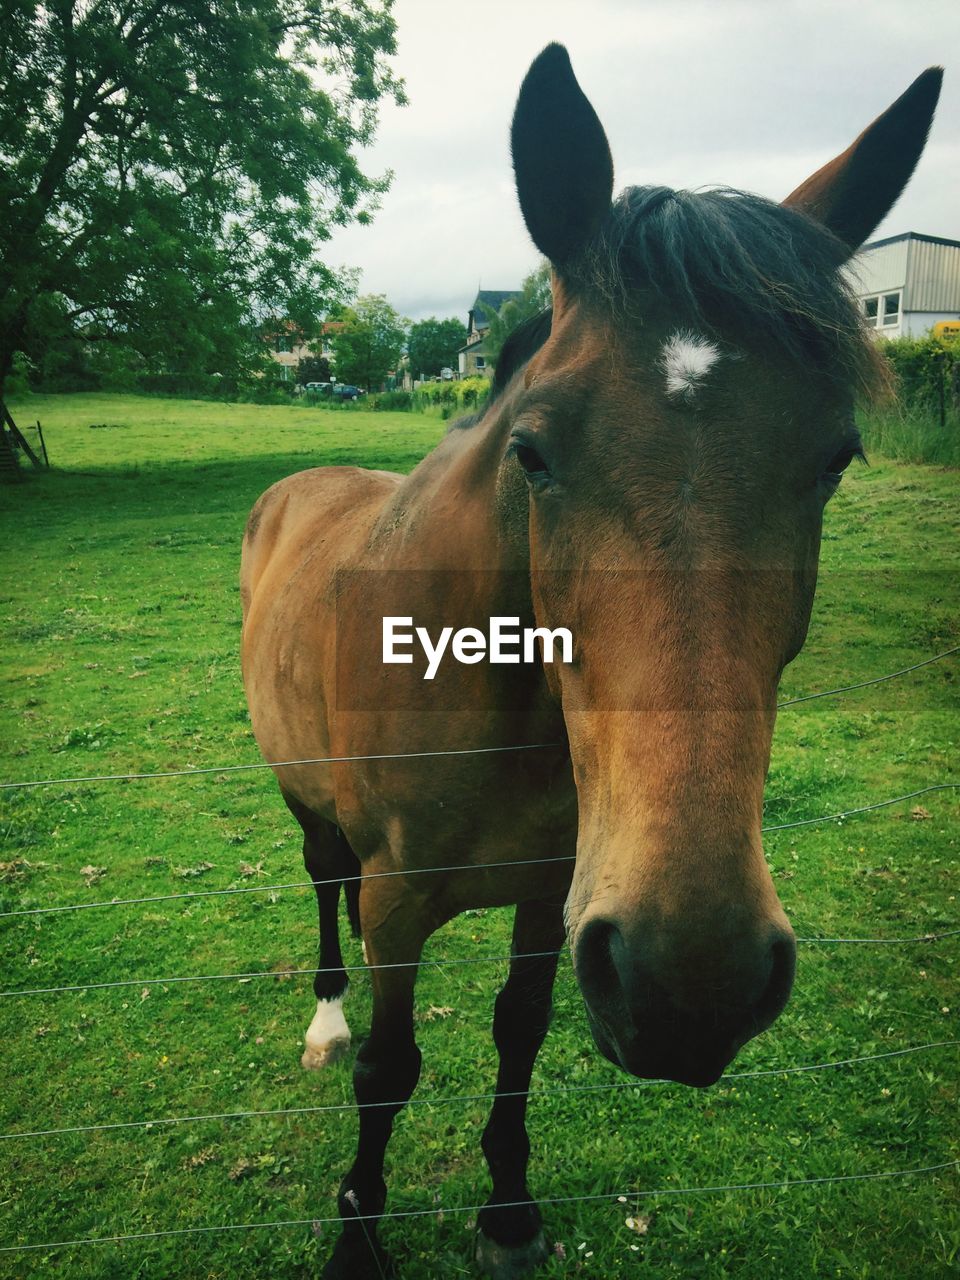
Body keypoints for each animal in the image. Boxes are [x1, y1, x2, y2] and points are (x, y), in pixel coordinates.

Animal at [241, 45, 947, 1274]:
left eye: (836, 459)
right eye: (532, 452)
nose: (693, 978)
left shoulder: (551, 890)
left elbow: (518, 1033)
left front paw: (509, 1208)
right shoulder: (395, 903)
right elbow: (389, 1069)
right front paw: (357, 1234)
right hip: (313, 810)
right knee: (321, 882)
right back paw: (322, 1019)